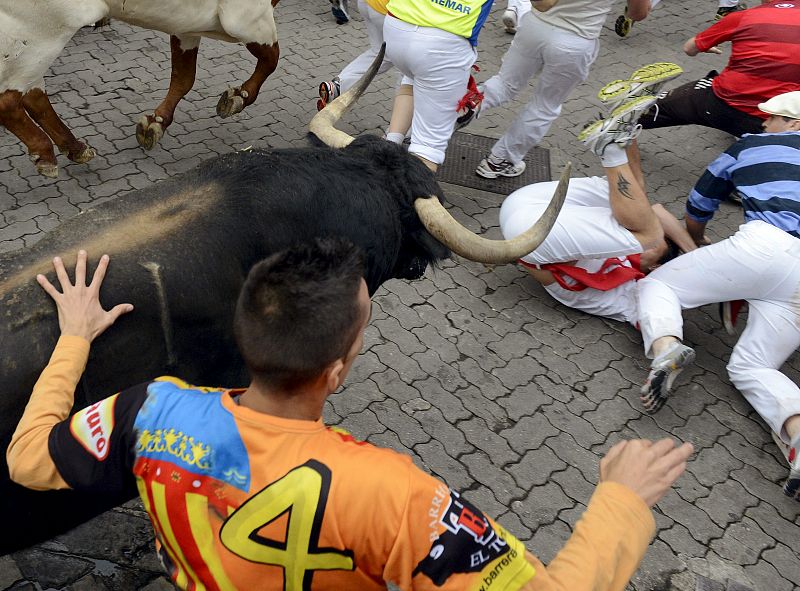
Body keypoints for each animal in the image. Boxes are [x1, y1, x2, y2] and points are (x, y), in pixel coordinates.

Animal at [0, 0, 282, 177]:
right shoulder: (247, 17)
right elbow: (272, 58)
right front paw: (239, 96)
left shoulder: (187, 23)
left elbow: (184, 77)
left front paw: (156, 123)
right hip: (43, 31)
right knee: (9, 100)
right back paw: (45, 152)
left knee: (34, 95)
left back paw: (75, 147)